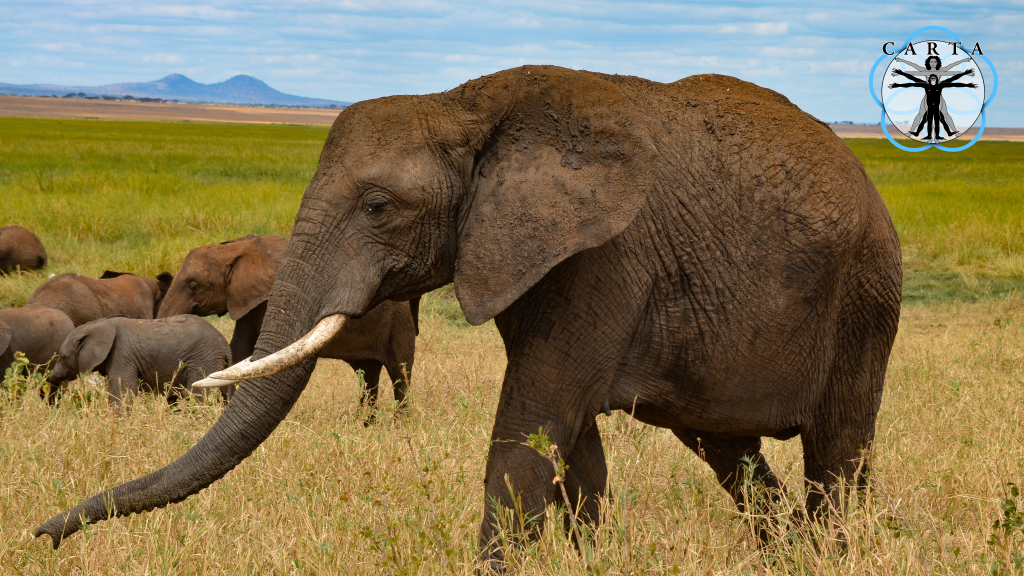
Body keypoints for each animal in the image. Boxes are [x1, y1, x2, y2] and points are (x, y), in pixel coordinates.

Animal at [44, 313, 232, 403]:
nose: (49, 379)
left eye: (63, 357)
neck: (98, 324)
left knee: (197, 396)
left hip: (203, 361)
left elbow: (121, 395)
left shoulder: (121, 356)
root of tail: (225, 346)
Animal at [157, 233, 413, 416]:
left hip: (400, 324)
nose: (172, 405)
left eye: (193, 286)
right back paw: (365, 424)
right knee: (368, 376)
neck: (235, 249)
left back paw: (399, 425)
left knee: (400, 373)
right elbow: (240, 347)